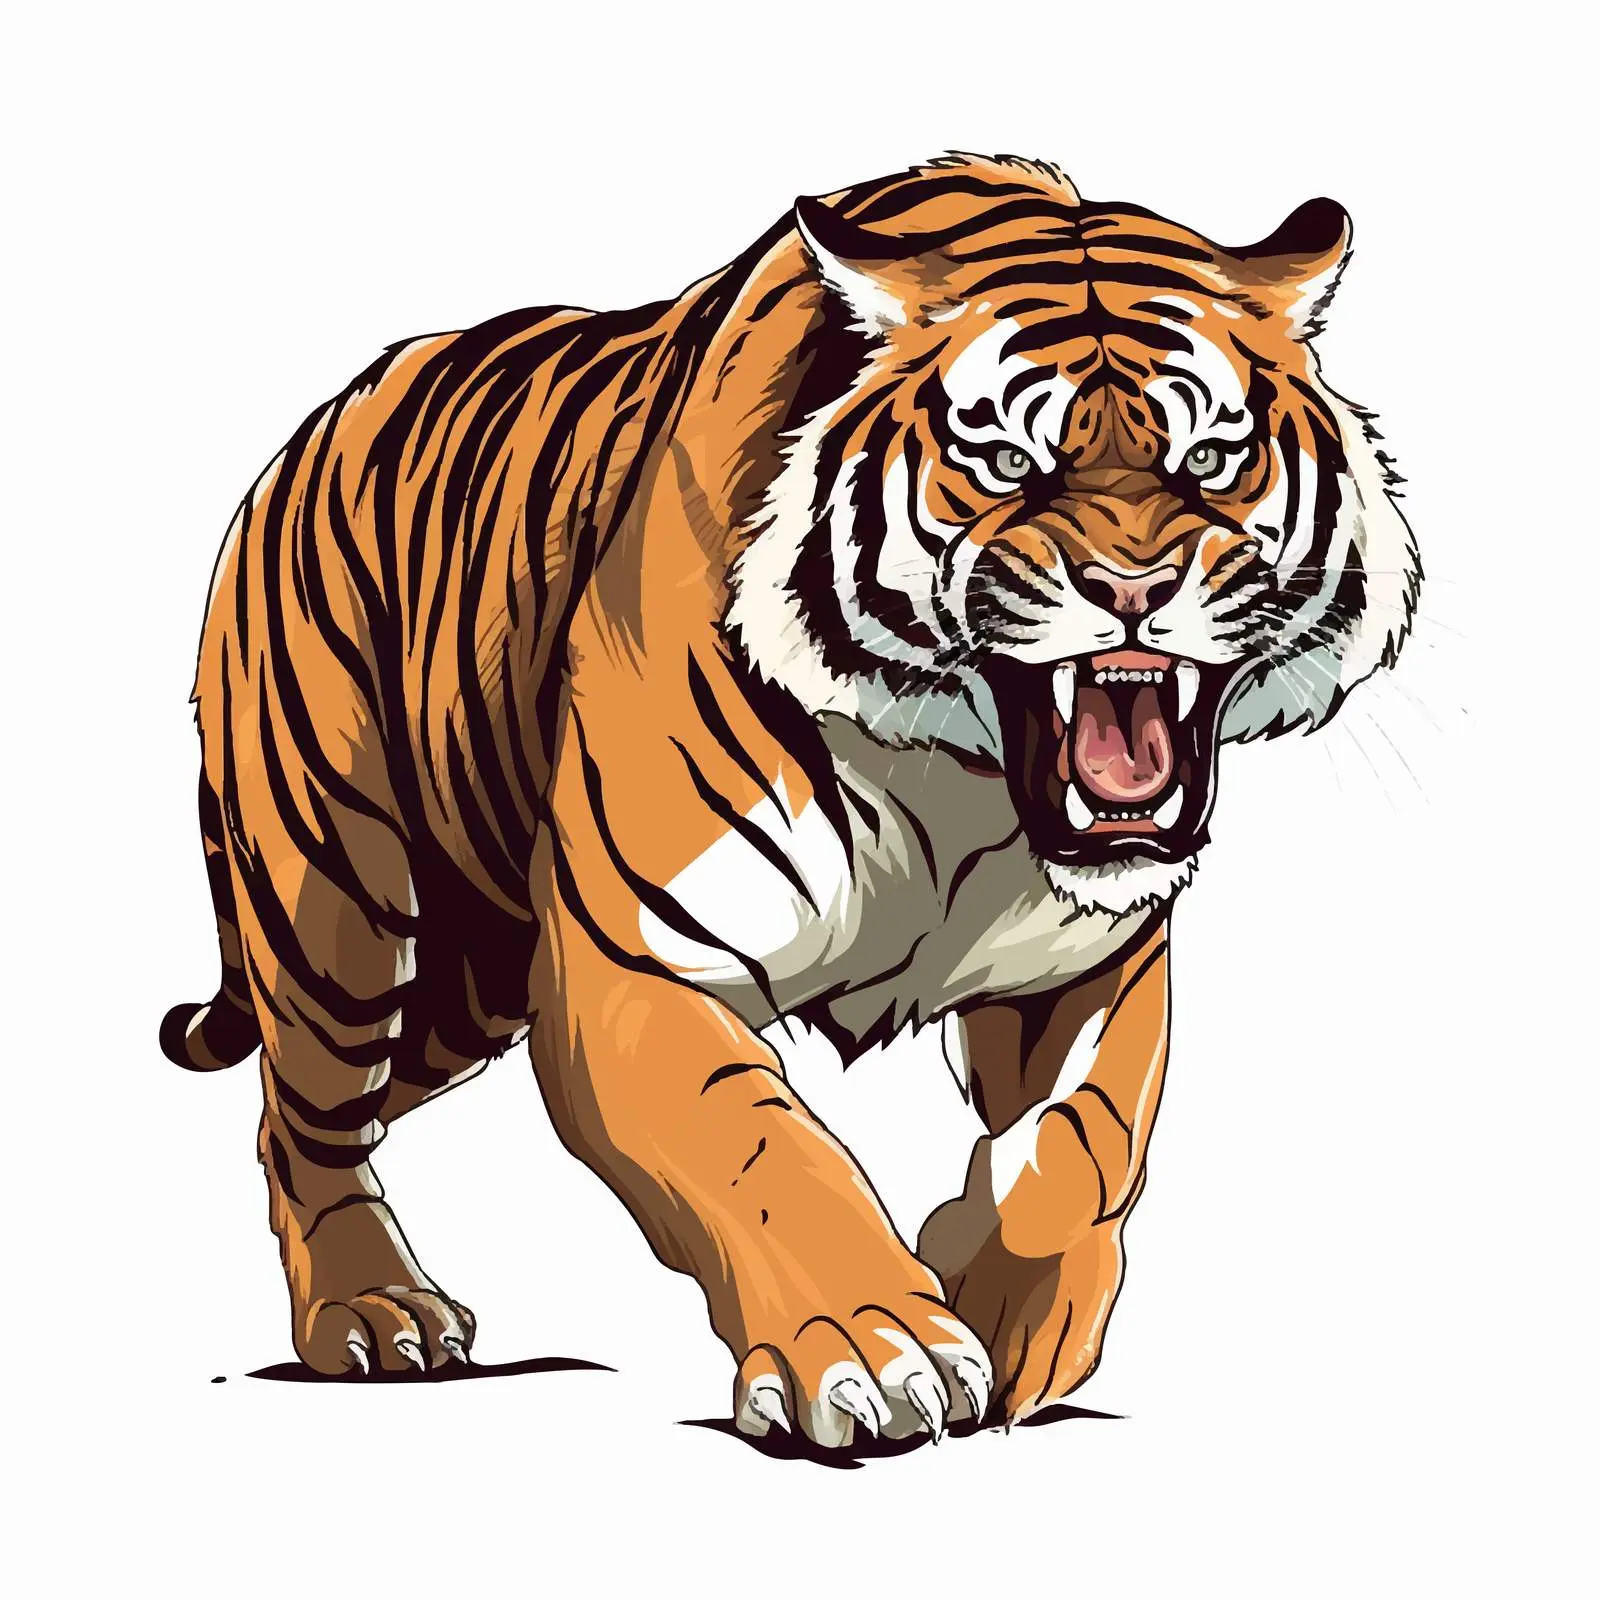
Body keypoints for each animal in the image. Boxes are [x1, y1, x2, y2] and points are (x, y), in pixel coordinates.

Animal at [161, 152, 1419, 1449]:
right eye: (1006, 462)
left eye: (1209, 459)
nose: (1133, 586)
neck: (959, 775)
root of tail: (314, 427)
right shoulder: (639, 963)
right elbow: (757, 1149)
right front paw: (881, 1349)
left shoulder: (1089, 961)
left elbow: (1084, 1141)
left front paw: (1009, 1319)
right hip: (344, 919)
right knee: (301, 1116)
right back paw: (371, 1313)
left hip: (467, 983)